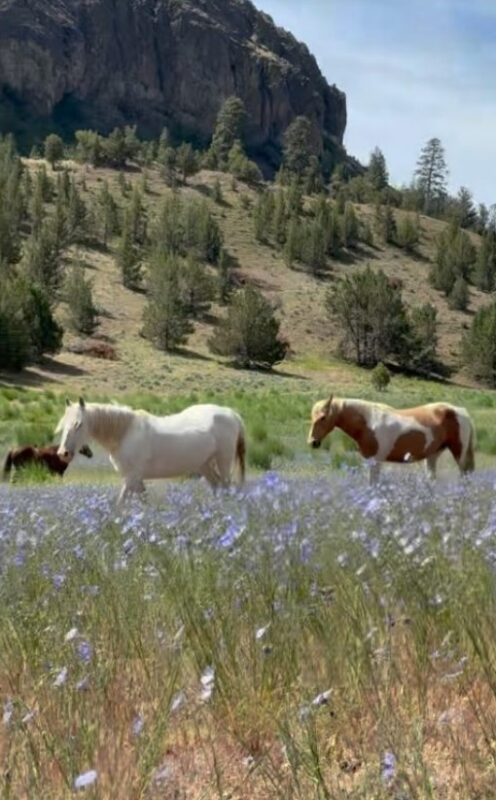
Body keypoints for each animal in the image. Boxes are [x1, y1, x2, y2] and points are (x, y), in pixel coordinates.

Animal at [56, 398, 246, 505]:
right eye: (64, 424)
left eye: (79, 424)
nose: (63, 453)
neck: (124, 432)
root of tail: (232, 414)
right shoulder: (136, 480)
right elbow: (143, 502)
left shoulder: (131, 477)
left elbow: (120, 503)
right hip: (204, 465)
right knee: (217, 487)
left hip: (223, 461)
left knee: (226, 487)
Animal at [308, 395, 475, 484]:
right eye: (312, 417)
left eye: (323, 417)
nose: (312, 442)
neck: (369, 422)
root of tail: (461, 411)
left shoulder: (375, 461)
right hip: (433, 455)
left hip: (459, 453)